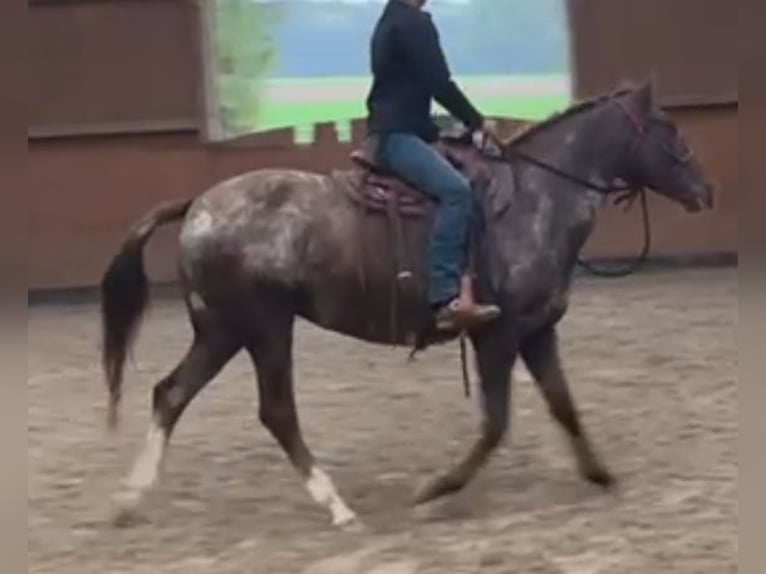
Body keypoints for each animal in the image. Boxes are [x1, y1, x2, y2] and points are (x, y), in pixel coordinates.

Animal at [100, 82, 712, 532]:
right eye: (668, 128)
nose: (705, 191)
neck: (538, 198)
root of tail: (198, 205)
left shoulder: (538, 331)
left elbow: (564, 406)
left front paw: (600, 473)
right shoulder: (498, 335)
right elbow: (495, 425)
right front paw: (437, 488)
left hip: (222, 332)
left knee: (171, 394)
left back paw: (130, 500)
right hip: (263, 327)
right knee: (275, 411)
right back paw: (337, 507)